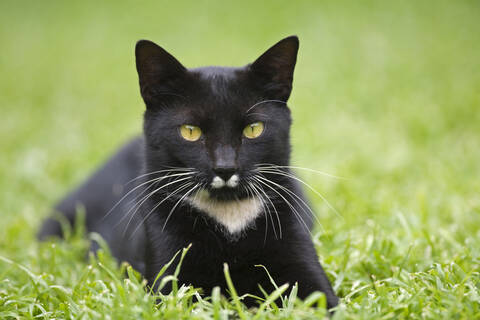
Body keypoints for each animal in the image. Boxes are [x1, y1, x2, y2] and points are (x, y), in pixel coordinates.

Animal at [39, 35, 340, 310]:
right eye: (190, 131)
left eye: (253, 129)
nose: (225, 167)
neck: (229, 218)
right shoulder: (169, 276)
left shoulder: (301, 261)